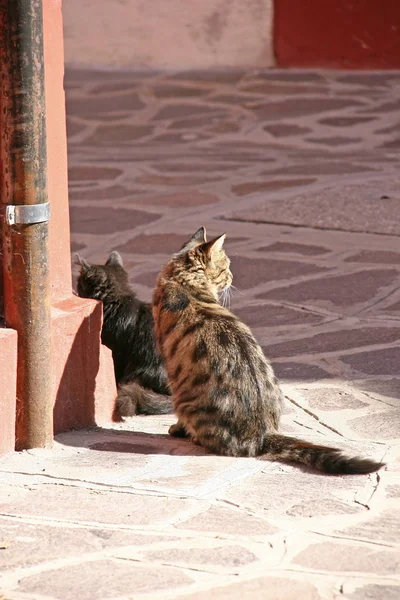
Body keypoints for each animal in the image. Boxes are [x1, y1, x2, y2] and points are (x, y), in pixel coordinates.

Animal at [152, 227, 382, 476]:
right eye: (227, 266)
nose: (232, 277)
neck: (185, 281)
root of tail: (263, 433)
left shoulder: (171, 369)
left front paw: (176, 429)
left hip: (184, 401)